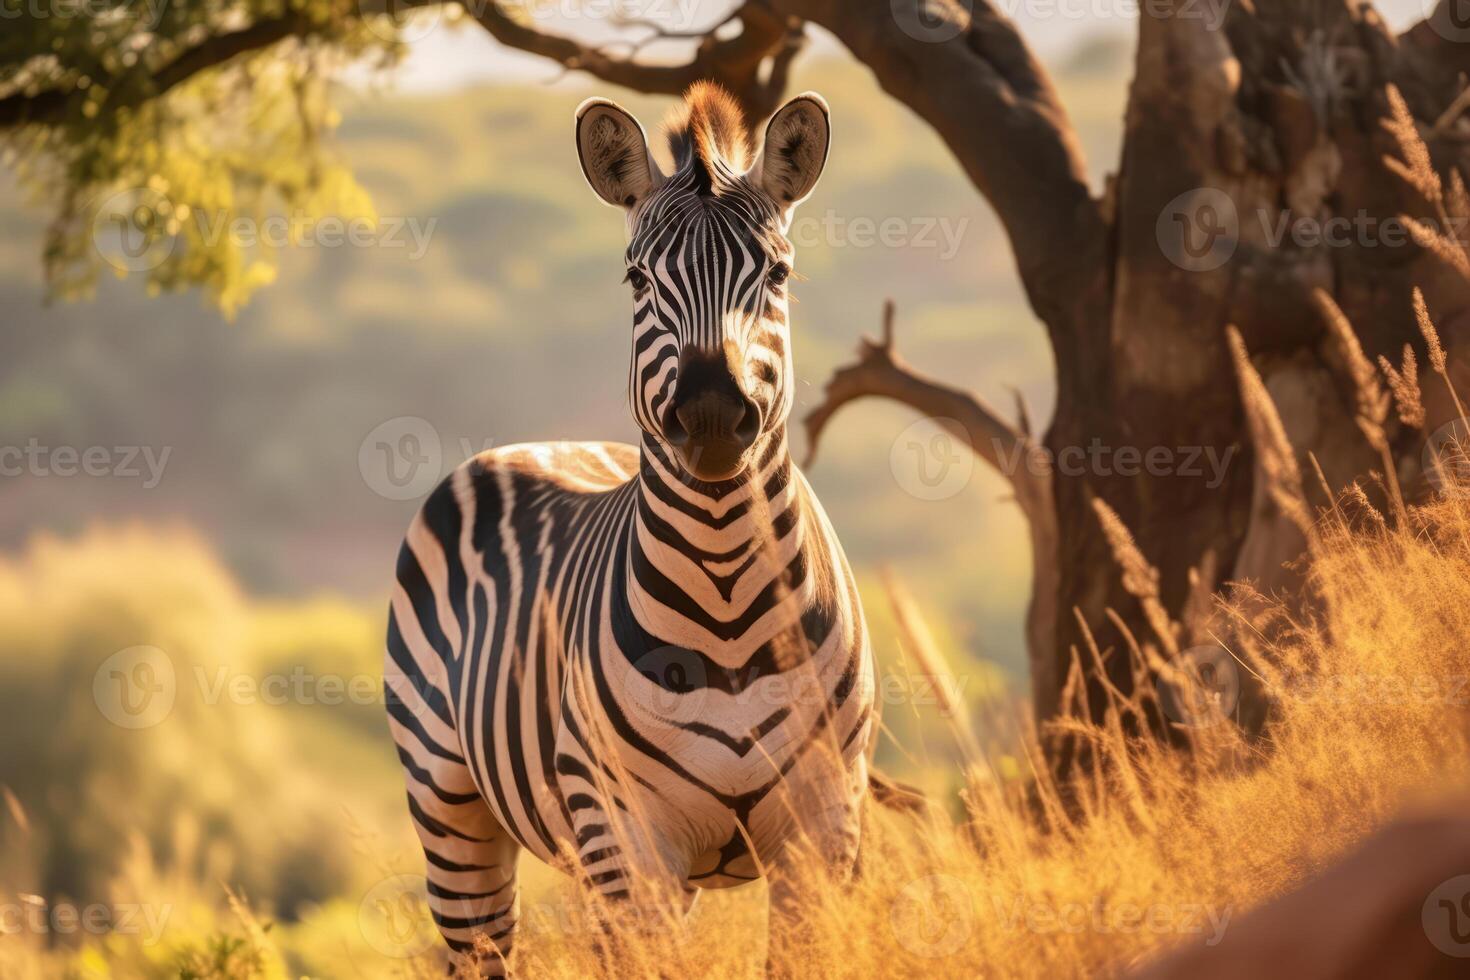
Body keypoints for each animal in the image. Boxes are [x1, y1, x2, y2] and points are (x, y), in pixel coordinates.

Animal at [385, 82, 876, 975]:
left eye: (778, 271)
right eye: (638, 276)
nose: (711, 415)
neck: (725, 590)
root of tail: (534, 442)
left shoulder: (825, 825)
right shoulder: (628, 839)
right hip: (452, 810)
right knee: (481, 945)